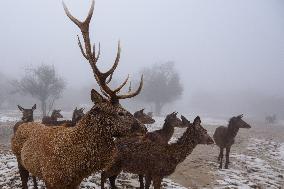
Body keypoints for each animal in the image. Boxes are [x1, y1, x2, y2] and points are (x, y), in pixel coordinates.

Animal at [10, 1, 146, 188]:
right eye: (120, 112)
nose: (144, 128)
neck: (75, 167)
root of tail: (22, 125)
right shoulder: (51, 179)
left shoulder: (74, 183)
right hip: (18, 159)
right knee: (24, 179)